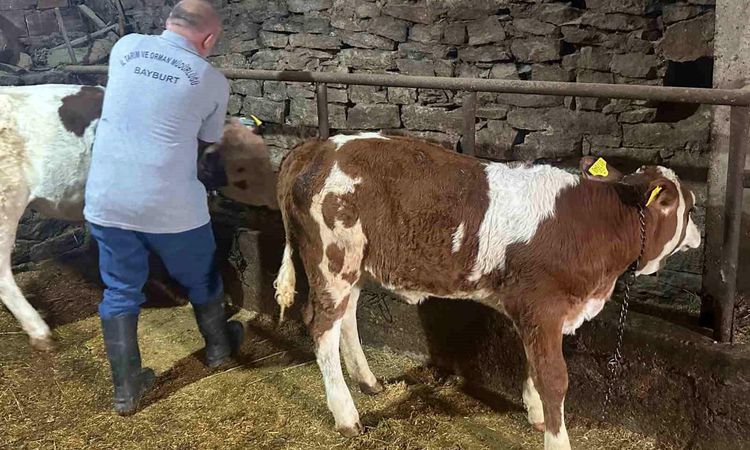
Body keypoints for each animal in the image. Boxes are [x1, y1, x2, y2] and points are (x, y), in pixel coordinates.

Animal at [273, 132, 701, 450]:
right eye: (692, 206)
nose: (698, 235)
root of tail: (319, 147)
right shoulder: (543, 306)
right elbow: (554, 377)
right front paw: (556, 436)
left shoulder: (535, 312)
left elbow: (533, 364)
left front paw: (534, 411)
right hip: (332, 261)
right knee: (321, 326)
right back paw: (347, 415)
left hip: (354, 266)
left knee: (345, 317)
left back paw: (368, 382)